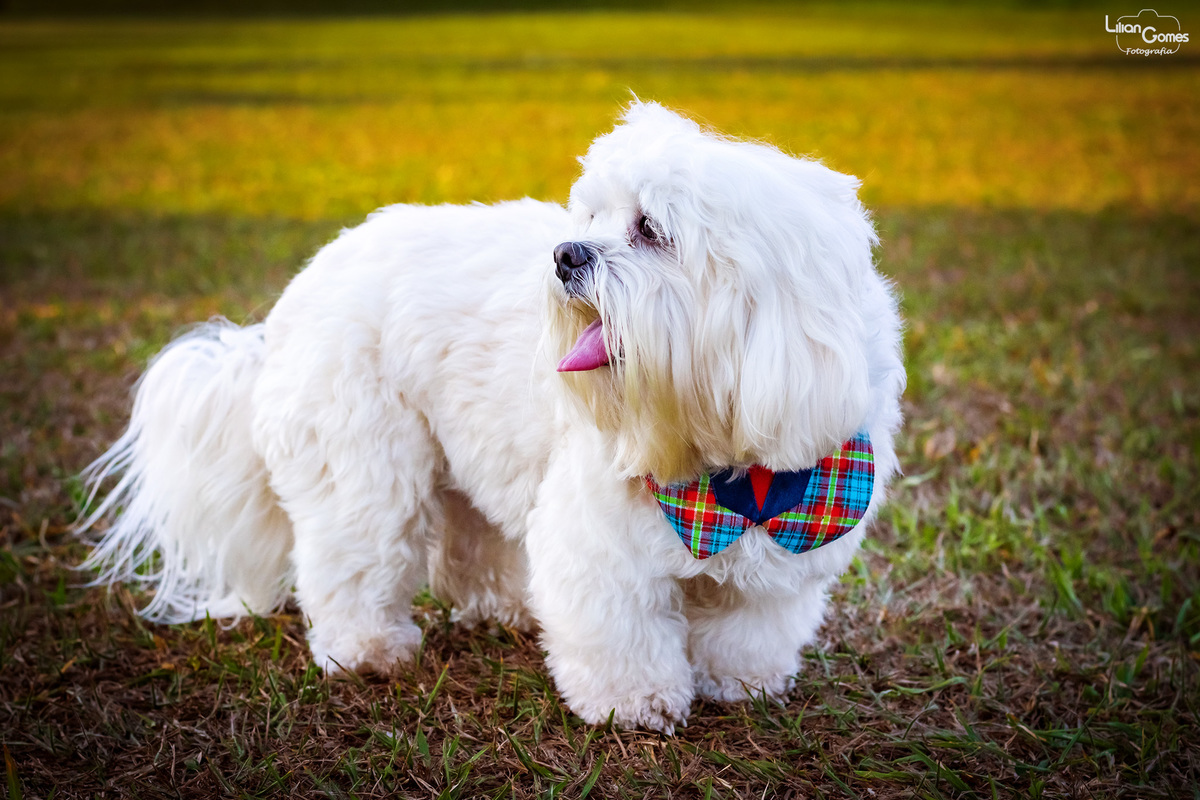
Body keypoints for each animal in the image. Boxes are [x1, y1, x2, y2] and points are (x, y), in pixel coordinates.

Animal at [79, 102, 905, 733]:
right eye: (594, 216)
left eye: (650, 229)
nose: (566, 253)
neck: (724, 468)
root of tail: (304, 285)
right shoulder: (600, 547)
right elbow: (622, 634)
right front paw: (635, 704)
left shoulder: (784, 558)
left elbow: (746, 628)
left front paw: (739, 685)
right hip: (366, 470)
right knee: (351, 560)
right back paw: (367, 648)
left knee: (469, 543)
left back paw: (505, 608)